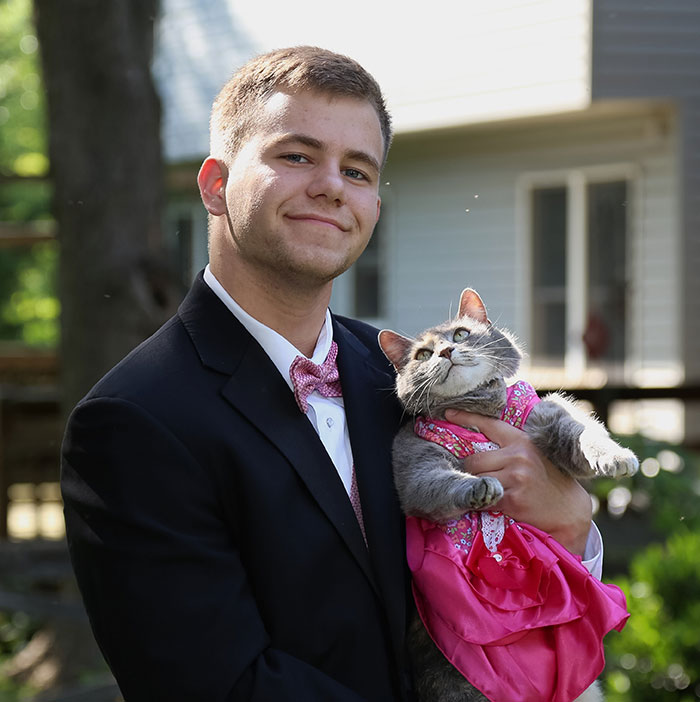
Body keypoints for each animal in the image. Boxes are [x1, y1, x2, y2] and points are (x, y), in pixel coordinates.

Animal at [380, 288, 636, 702]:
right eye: (422, 355)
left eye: (461, 334)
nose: (446, 351)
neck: (481, 411)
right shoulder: (414, 466)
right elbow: (440, 482)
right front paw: (480, 486)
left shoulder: (547, 414)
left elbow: (584, 433)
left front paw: (616, 457)